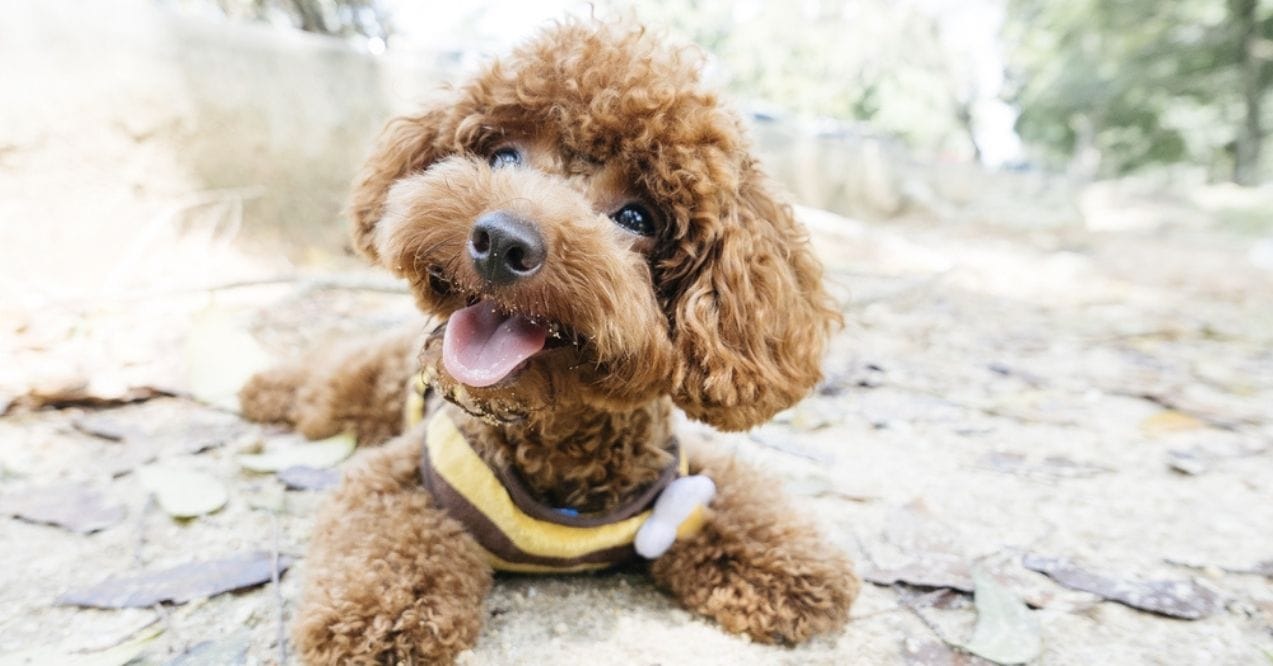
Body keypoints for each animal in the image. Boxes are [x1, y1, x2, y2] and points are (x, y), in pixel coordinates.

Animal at [240, 18, 855, 662]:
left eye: (637, 218)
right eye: (503, 155)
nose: (501, 241)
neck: (555, 442)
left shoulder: (683, 477)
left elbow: (740, 499)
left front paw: (795, 568)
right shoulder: (400, 474)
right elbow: (385, 536)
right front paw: (377, 618)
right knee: (322, 384)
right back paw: (262, 389)